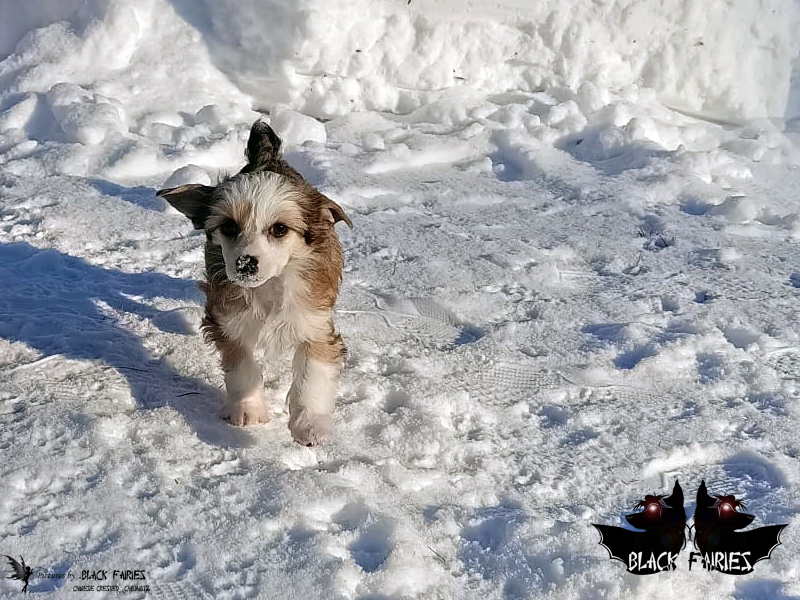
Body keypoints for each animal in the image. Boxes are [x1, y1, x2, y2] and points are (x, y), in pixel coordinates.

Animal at [157, 121, 352, 445]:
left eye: (280, 229)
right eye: (228, 227)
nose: (245, 263)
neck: (270, 286)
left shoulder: (315, 324)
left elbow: (312, 374)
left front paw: (309, 424)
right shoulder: (227, 318)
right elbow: (242, 365)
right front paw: (249, 410)